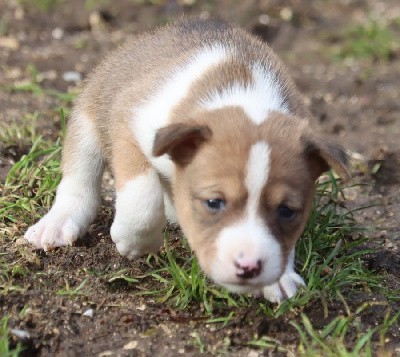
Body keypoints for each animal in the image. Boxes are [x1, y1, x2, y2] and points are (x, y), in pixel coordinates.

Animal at [25, 17, 350, 300]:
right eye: (213, 203)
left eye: (287, 211)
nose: (249, 267)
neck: (245, 98)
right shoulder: (129, 124)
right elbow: (142, 199)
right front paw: (134, 241)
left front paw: (281, 278)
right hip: (87, 122)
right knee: (79, 182)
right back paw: (56, 224)